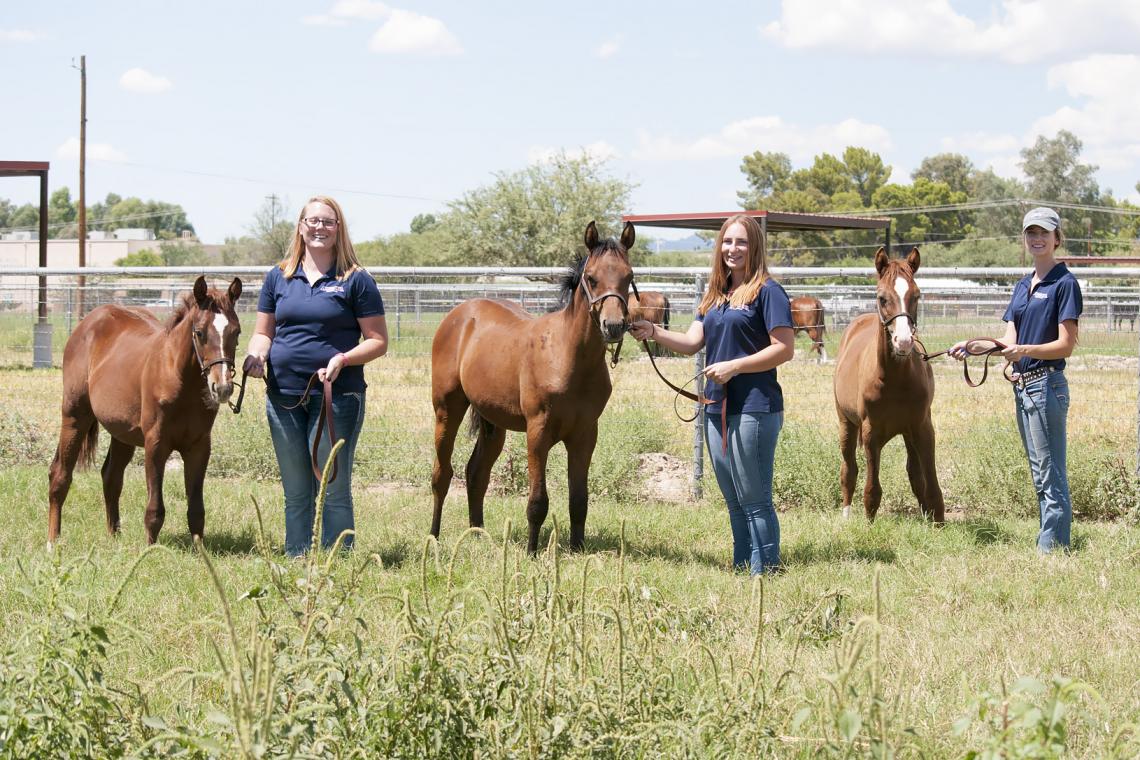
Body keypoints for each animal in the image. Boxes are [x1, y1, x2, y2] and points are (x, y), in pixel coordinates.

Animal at [51, 276, 245, 544]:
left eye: (236, 332)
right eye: (199, 332)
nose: (222, 387)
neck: (178, 377)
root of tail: (88, 322)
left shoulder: (199, 447)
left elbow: (196, 509)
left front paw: (200, 549)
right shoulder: (156, 444)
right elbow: (154, 509)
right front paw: (150, 548)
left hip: (122, 433)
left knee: (111, 477)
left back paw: (114, 537)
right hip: (74, 416)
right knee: (60, 474)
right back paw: (53, 541)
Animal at [430, 219, 638, 553]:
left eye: (629, 277)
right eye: (591, 278)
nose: (615, 326)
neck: (569, 356)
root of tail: (460, 314)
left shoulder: (585, 435)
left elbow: (579, 500)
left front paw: (578, 549)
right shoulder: (537, 432)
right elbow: (538, 500)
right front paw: (531, 551)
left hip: (493, 422)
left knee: (476, 473)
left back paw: (478, 535)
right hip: (446, 410)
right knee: (442, 474)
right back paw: (434, 536)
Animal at [829, 248, 943, 524]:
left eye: (916, 295)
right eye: (882, 298)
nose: (903, 341)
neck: (896, 379)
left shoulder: (922, 427)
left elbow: (928, 481)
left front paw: (936, 521)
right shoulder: (870, 432)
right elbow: (872, 488)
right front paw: (869, 523)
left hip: (907, 433)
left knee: (915, 473)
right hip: (846, 424)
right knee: (849, 470)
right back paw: (846, 516)